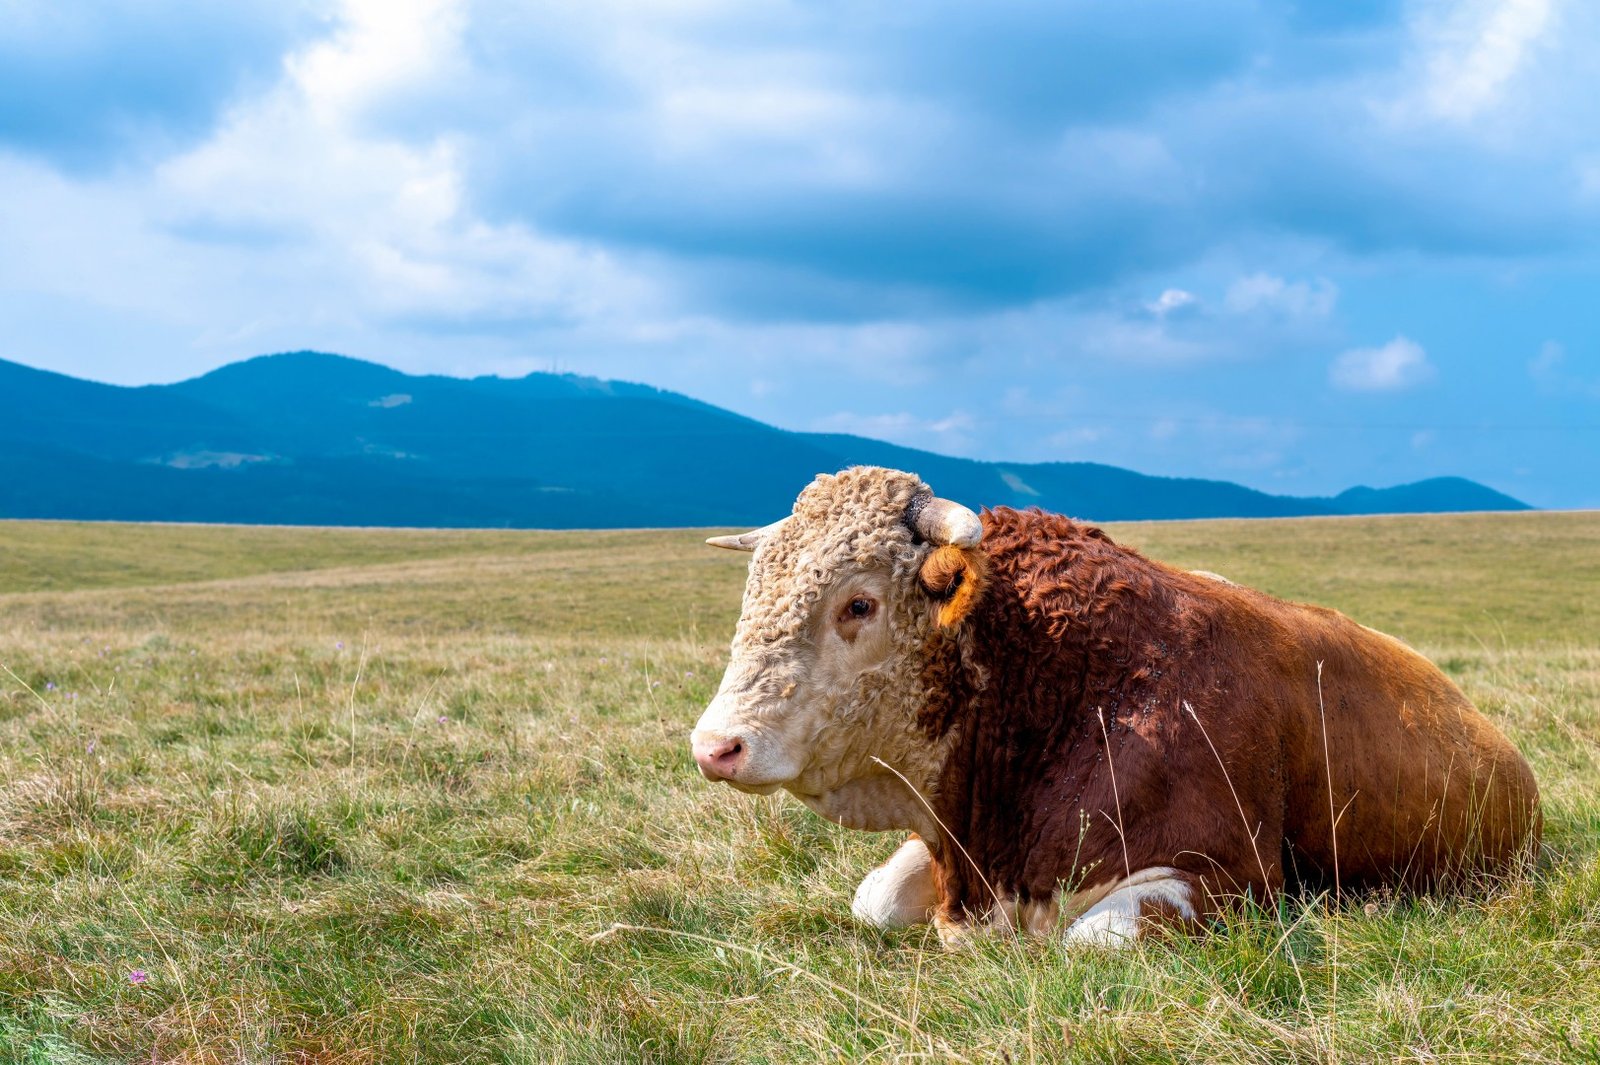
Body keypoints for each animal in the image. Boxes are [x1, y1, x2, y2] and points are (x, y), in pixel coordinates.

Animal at [689, 466, 1541, 946]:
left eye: (859, 603)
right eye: (754, 589)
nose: (715, 745)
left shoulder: (1229, 876)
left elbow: (1091, 937)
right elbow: (873, 898)